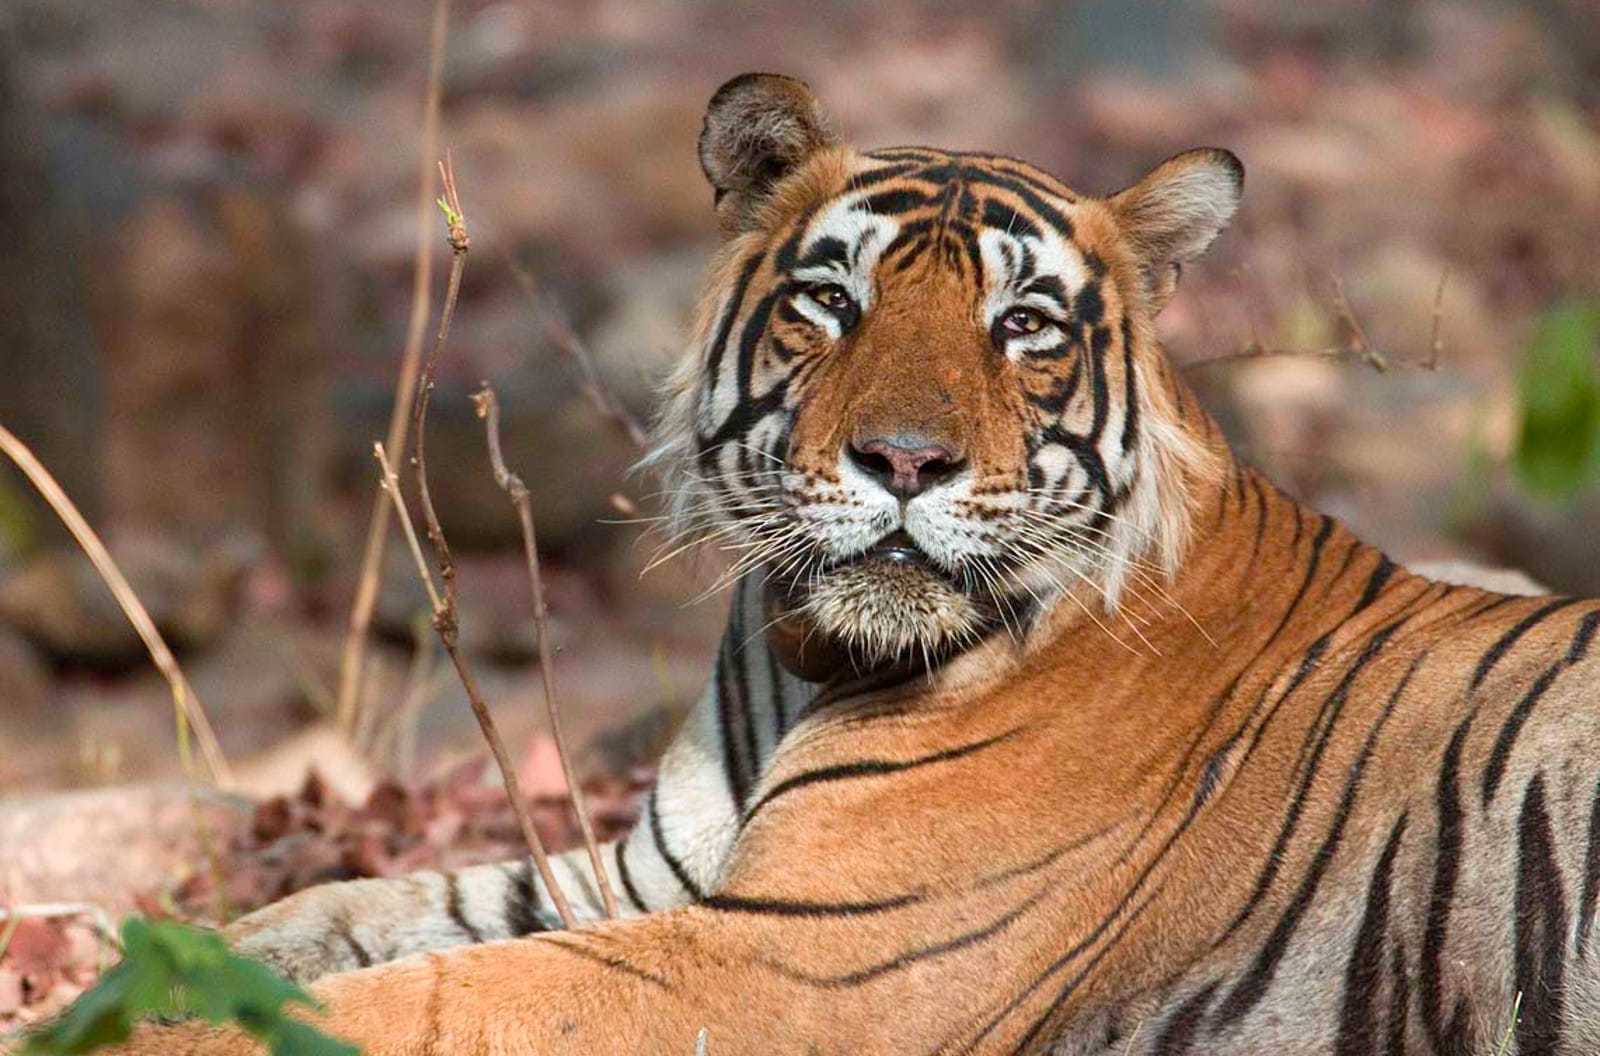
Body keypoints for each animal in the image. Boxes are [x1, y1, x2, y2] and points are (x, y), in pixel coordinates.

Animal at [105, 72, 1600, 1055]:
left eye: (1023, 322)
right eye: (833, 300)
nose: (904, 461)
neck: (810, 659)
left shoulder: (787, 965)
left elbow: (409, 1000)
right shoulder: (659, 879)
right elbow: (360, 911)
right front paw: (155, 962)